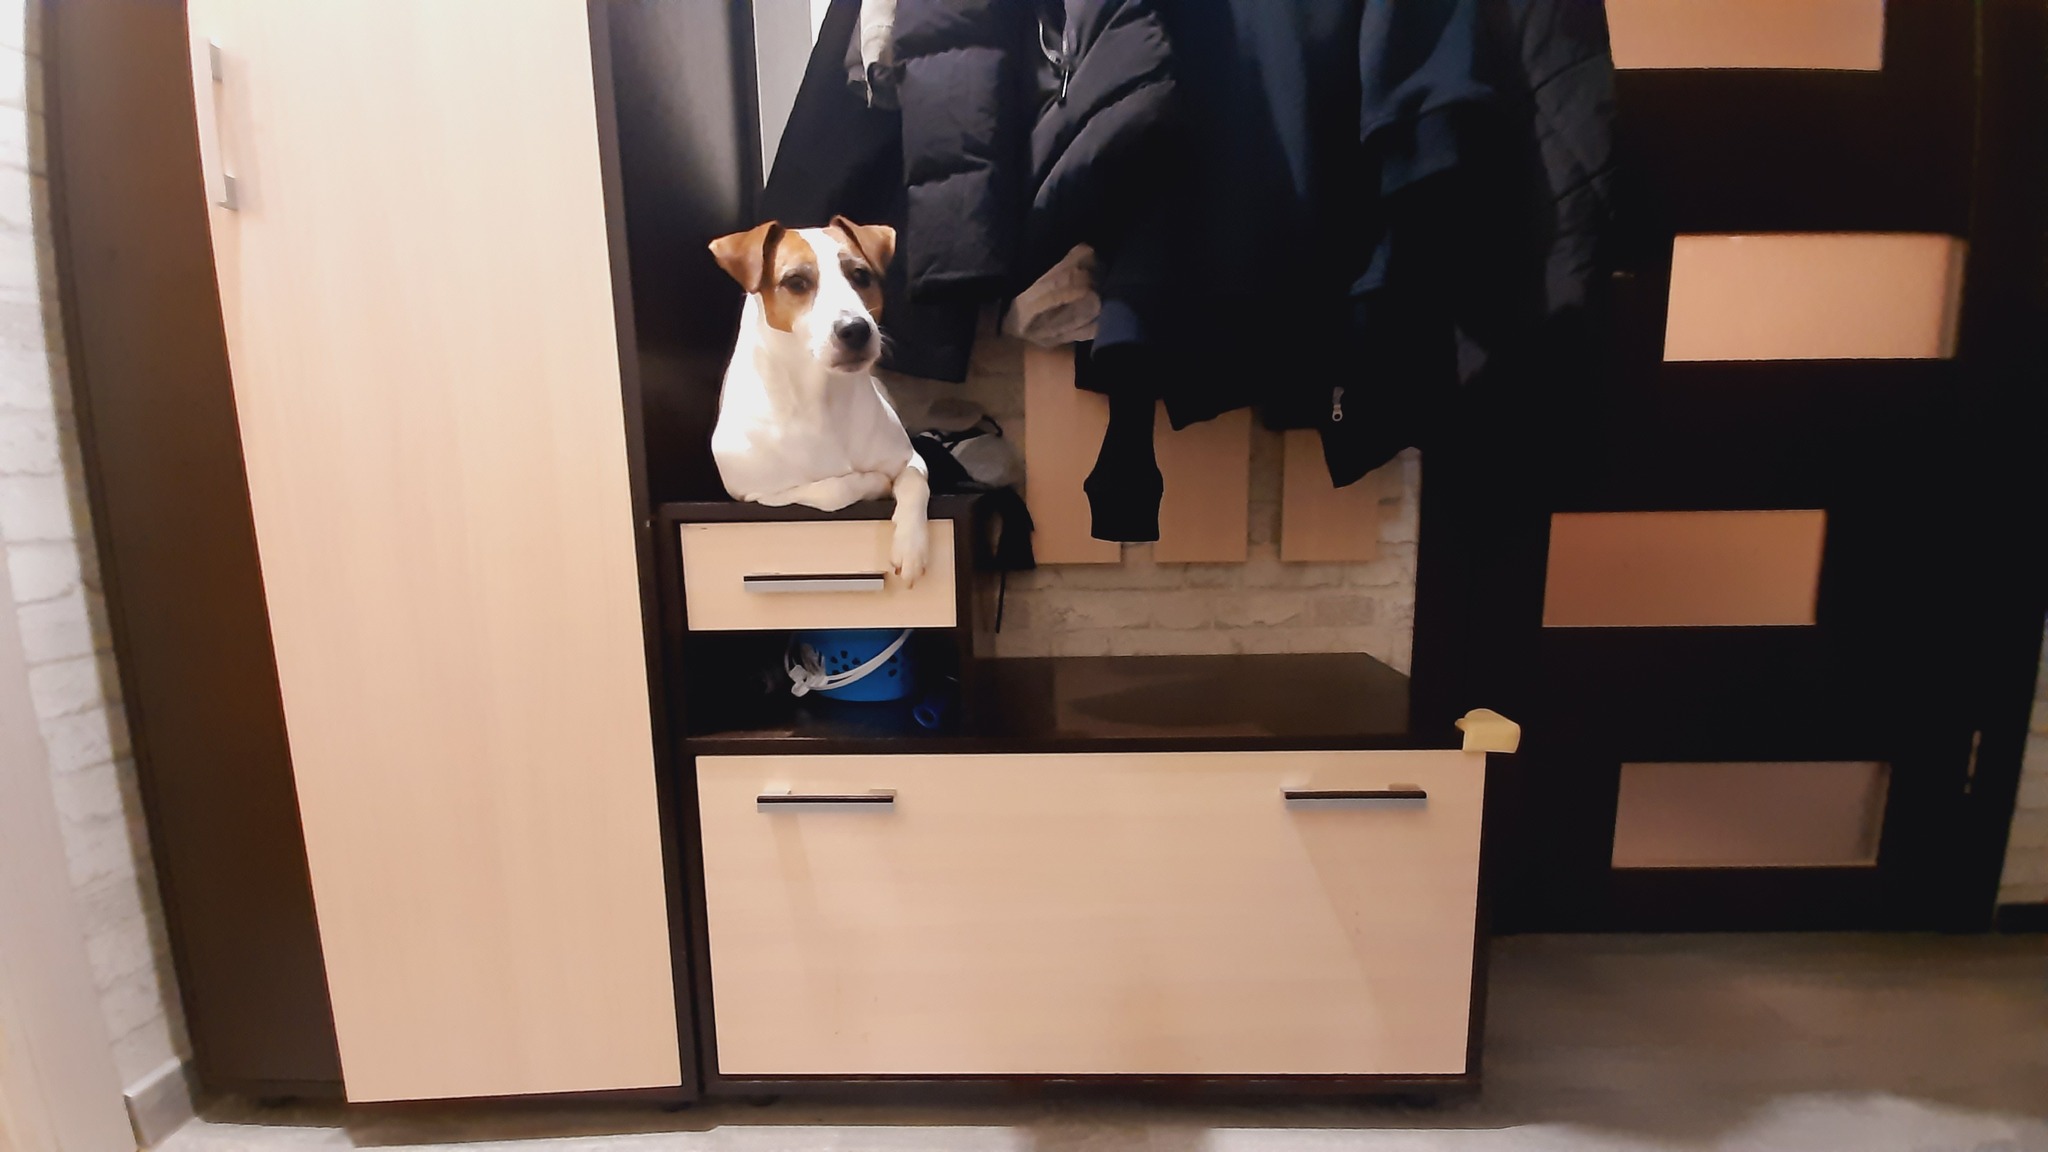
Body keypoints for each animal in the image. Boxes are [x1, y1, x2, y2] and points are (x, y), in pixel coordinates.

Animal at [707, 216, 930, 585]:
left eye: (860, 275)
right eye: (796, 282)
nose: (856, 329)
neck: (822, 397)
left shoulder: (910, 459)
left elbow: (915, 481)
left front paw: (911, 547)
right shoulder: (755, 494)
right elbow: (831, 491)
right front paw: (874, 483)